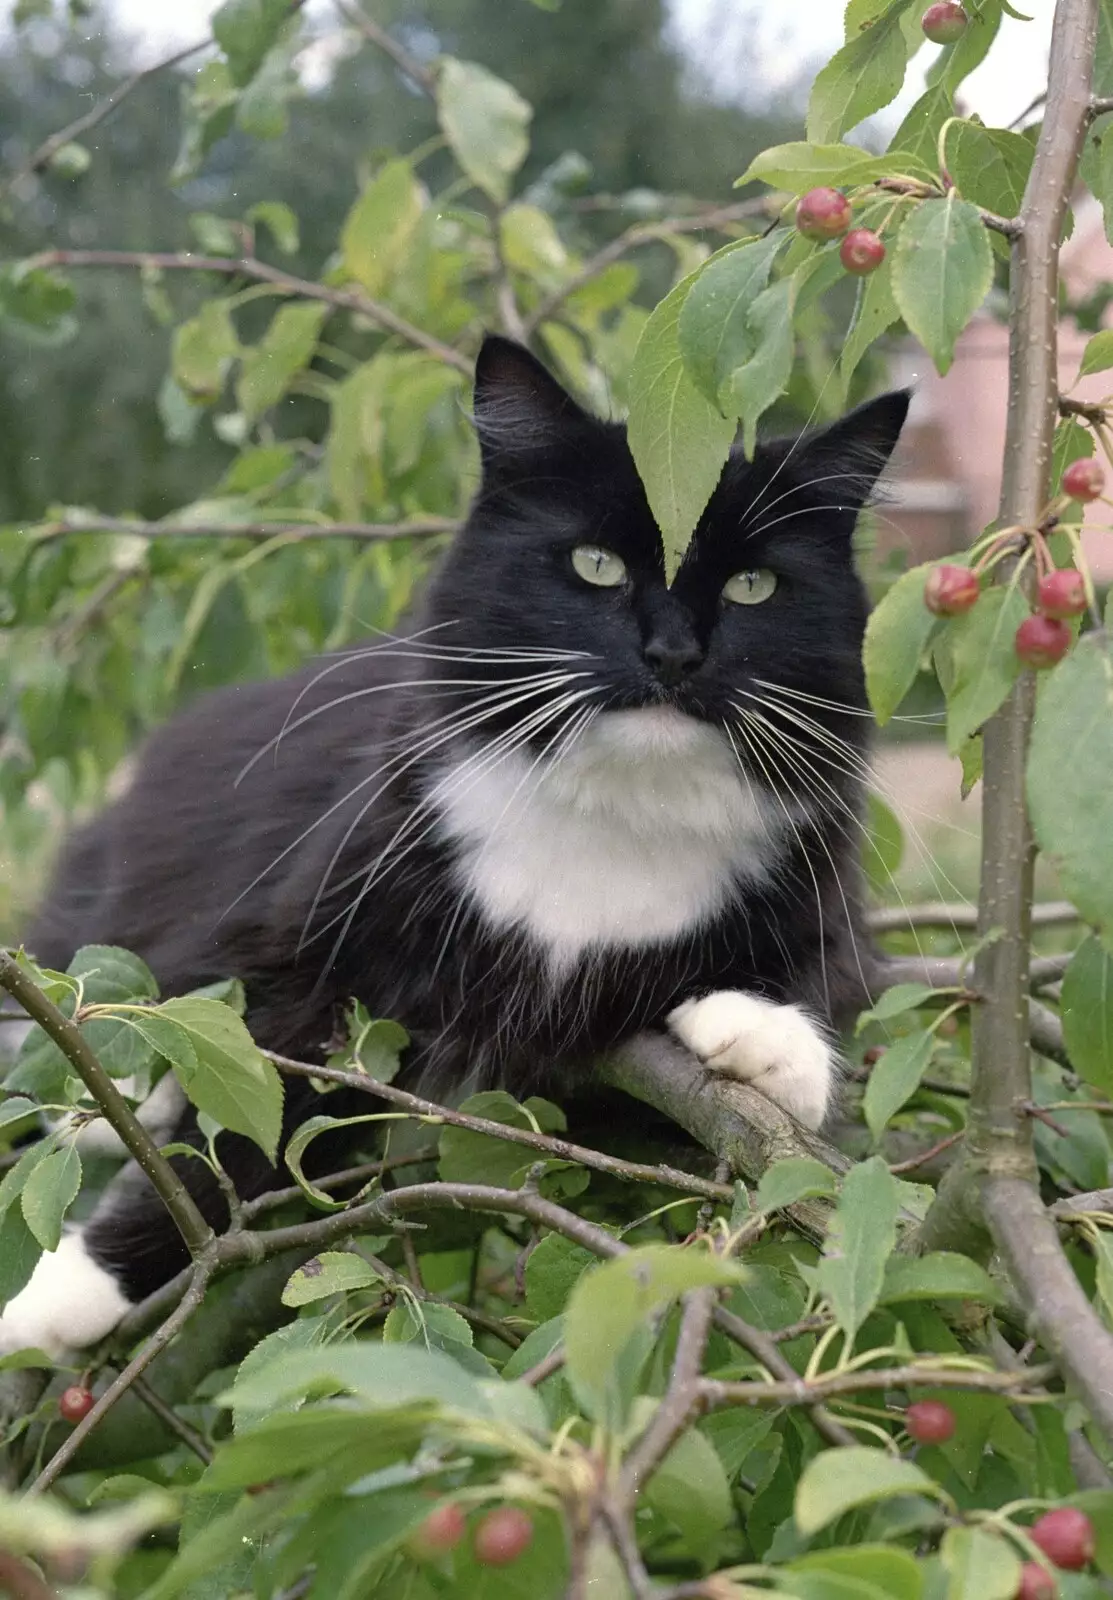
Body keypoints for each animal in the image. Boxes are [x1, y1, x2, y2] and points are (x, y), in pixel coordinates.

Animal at [0, 344, 901, 1356]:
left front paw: (771, 1041)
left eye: (753, 587)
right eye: (596, 565)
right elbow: (230, 1136)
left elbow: (799, 1006)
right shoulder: (311, 966)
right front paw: (63, 1291)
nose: (673, 653)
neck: (617, 813)